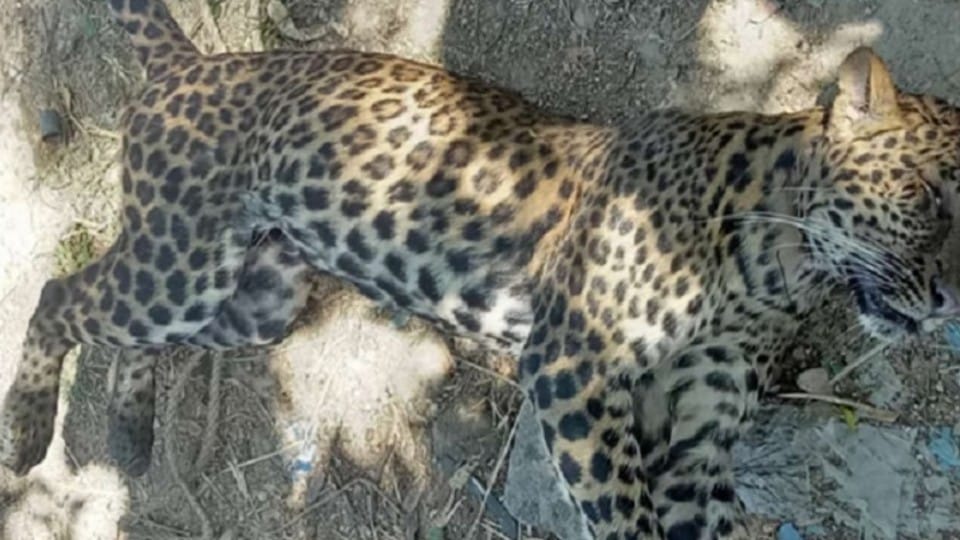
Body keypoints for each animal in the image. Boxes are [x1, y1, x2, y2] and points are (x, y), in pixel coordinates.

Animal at [2, 0, 959, 538]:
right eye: (925, 195)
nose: (949, 301)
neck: (779, 266)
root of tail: (195, 64)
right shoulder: (573, 366)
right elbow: (626, 517)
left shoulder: (700, 432)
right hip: (184, 262)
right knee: (60, 295)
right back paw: (26, 430)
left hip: (255, 293)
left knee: (125, 323)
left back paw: (130, 427)